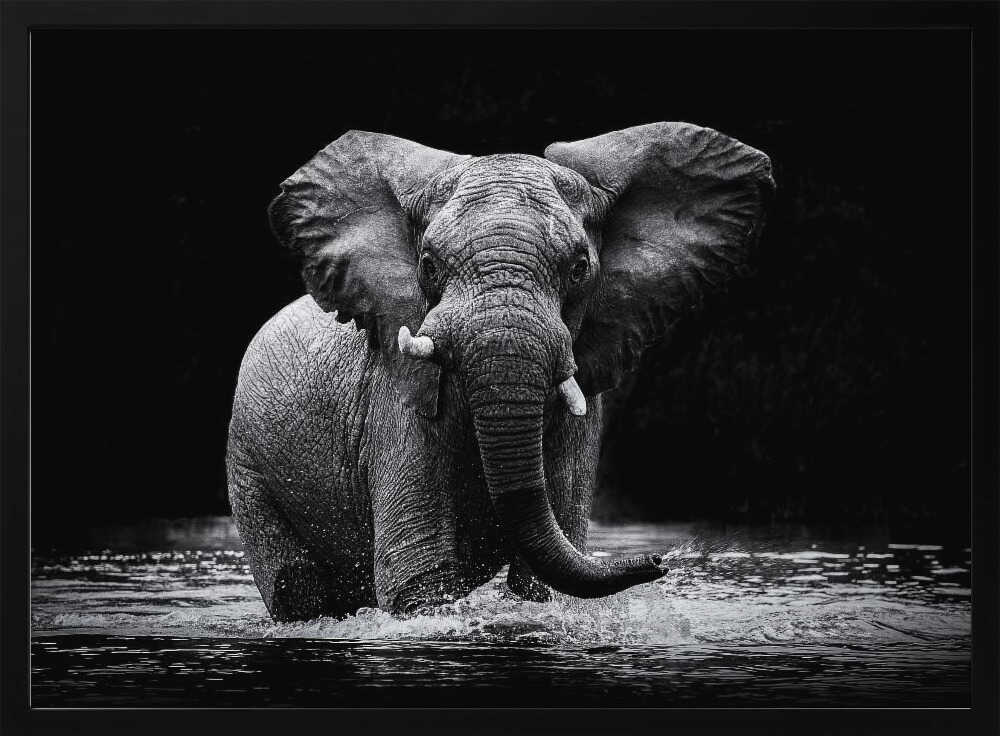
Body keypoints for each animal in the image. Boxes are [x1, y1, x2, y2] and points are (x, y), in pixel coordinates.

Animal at [226, 121, 774, 622]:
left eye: (580, 267)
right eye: (427, 264)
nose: (660, 560)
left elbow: (541, 582)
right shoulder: (397, 400)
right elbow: (417, 576)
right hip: (247, 465)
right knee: (294, 589)